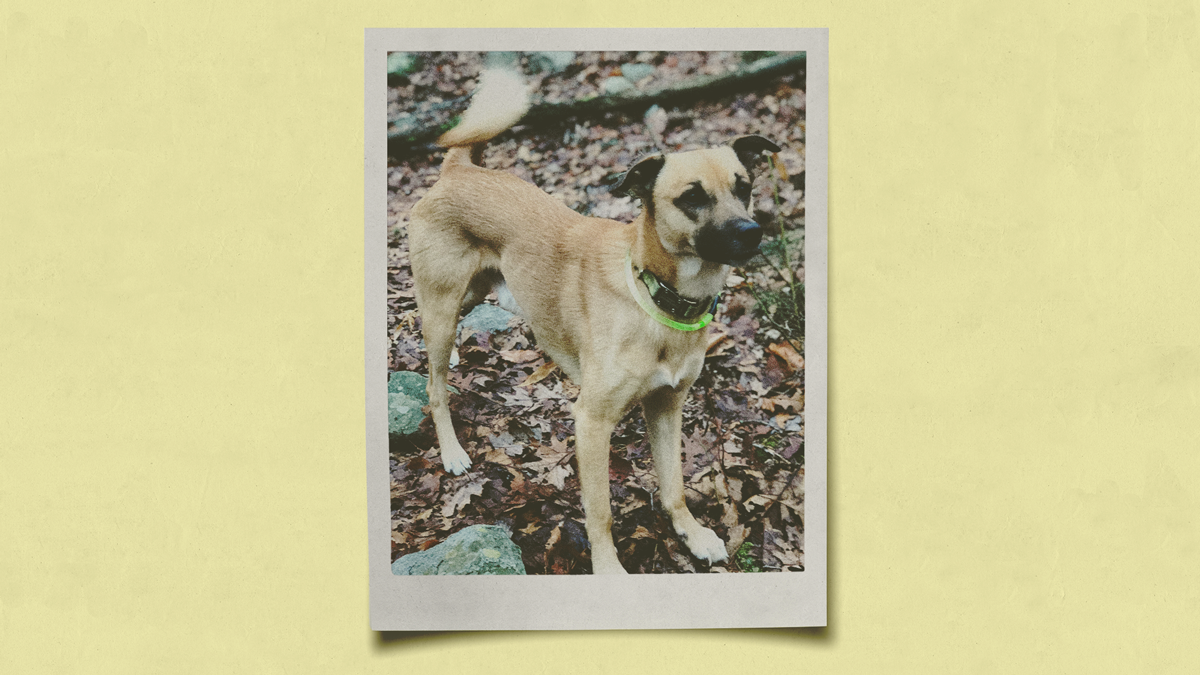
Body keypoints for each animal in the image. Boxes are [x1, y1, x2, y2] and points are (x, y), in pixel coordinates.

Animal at [408, 66, 782, 571]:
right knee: (434, 387)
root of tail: (458, 170)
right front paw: (607, 568)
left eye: (744, 188)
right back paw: (451, 451)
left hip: (471, 297)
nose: (752, 232)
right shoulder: (591, 422)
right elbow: (600, 511)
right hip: (443, 309)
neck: (654, 297)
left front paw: (692, 534)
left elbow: (674, 486)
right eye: (692, 198)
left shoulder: (667, 408)